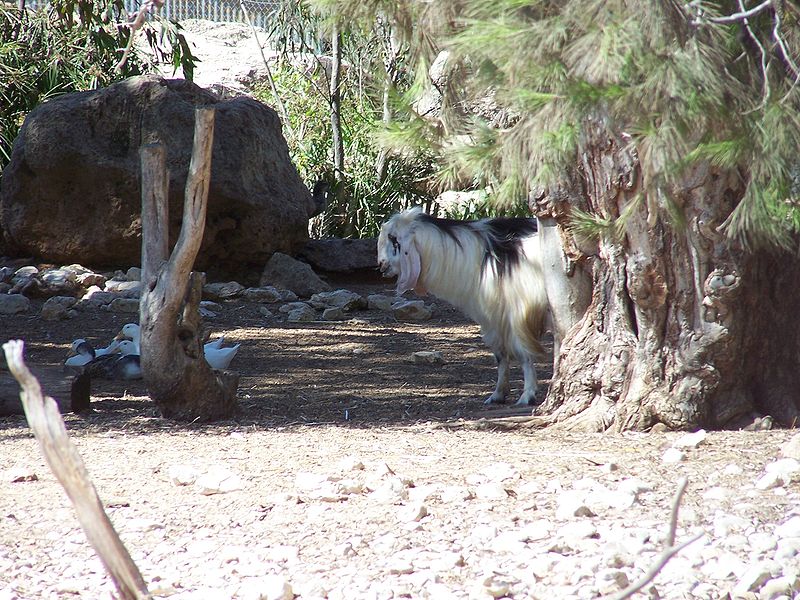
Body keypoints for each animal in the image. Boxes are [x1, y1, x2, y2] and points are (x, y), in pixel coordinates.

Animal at [376, 207, 552, 408]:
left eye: (393, 238)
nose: (381, 265)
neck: (477, 256)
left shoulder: (519, 313)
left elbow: (524, 353)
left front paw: (527, 396)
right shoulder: (493, 318)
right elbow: (500, 355)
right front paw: (497, 395)